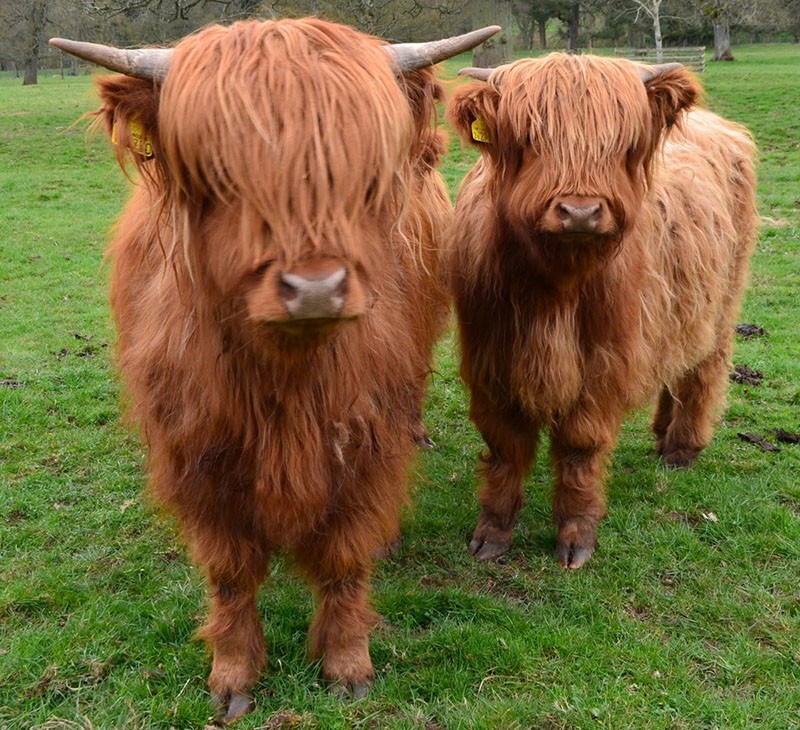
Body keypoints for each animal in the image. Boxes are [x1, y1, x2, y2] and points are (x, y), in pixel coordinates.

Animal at [50, 18, 494, 724]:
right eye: (220, 173)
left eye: (365, 174)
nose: (315, 288)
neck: (285, 382)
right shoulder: (200, 455)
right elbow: (231, 575)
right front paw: (233, 676)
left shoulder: (364, 445)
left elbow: (344, 560)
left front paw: (347, 664)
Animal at [446, 55, 760, 568]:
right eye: (529, 139)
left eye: (622, 143)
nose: (579, 211)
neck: (555, 288)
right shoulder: (491, 358)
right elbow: (505, 446)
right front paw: (492, 532)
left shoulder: (602, 363)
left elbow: (580, 446)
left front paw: (576, 537)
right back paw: (661, 431)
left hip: (722, 299)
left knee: (704, 368)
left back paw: (682, 448)